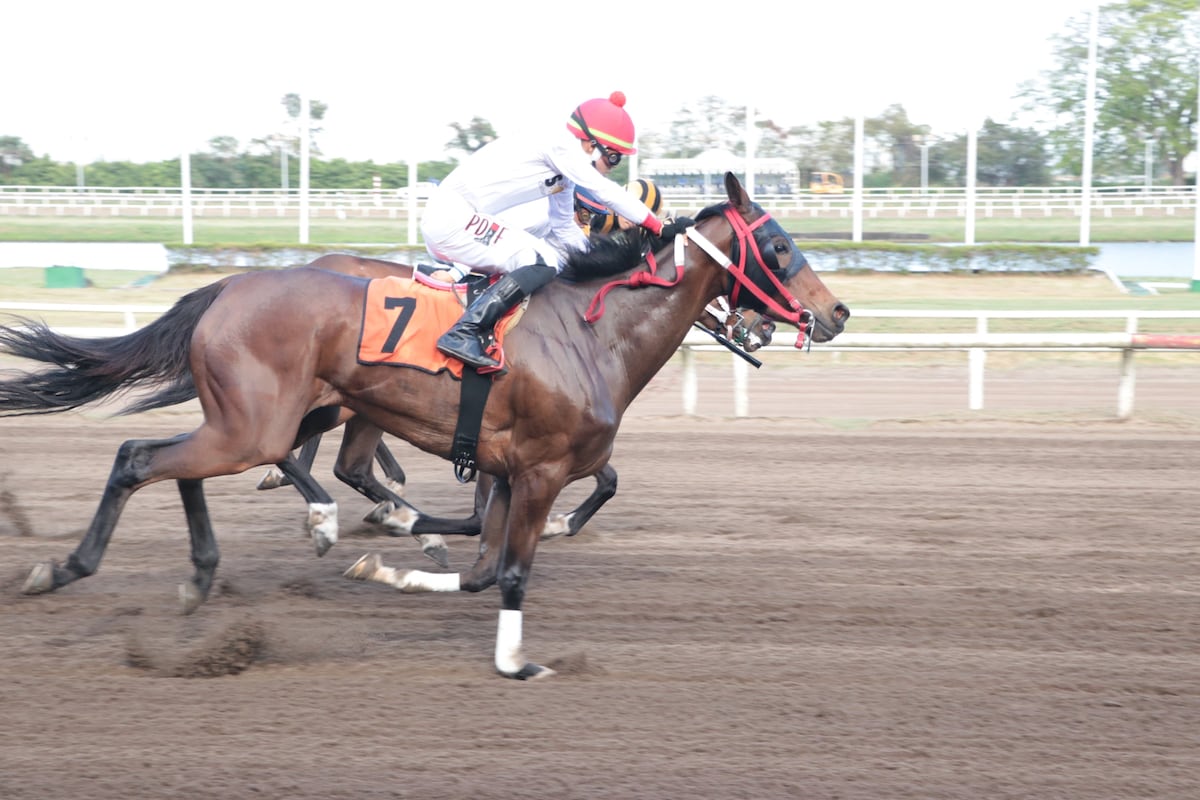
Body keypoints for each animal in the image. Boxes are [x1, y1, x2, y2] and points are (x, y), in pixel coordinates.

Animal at [0, 172, 849, 681]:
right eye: (779, 246)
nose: (836, 312)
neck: (593, 332)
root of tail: (228, 287)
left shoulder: (507, 469)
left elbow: (481, 567)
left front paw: (386, 567)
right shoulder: (539, 472)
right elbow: (510, 571)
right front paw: (516, 662)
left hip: (270, 420)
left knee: (189, 466)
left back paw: (203, 574)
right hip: (263, 423)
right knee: (142, 457)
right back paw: (65, 568)